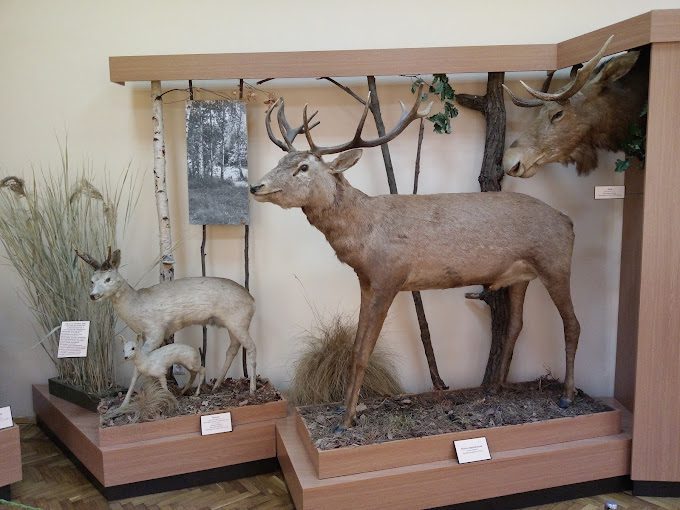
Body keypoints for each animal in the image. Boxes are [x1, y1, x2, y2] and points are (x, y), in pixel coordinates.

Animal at [75, 248, 257, 401]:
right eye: (92, 280)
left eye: (108, 279)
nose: (93, 295)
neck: (136, 306)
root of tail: (252, 300)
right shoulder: (146, 334)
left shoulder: (156, 331)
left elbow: (139, 367)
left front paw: (126, 402)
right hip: (232, 324)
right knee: (232, 348)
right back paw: (216, 385)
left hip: (238, 321)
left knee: (251, 347)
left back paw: (252, 389)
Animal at [251, 85, 580, 429]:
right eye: (281, 159)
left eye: (303, 167)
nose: (256, 186)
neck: (366, 231)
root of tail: (567, 221)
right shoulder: (366, 280)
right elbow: (355, 349)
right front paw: (345, 409)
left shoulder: (389, 277)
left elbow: (365, 350)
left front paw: (347, 417)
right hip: (520, 275)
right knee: (516, 324)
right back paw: (495, 389)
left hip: (555, 262)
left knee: (572, 323)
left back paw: (567, 395)